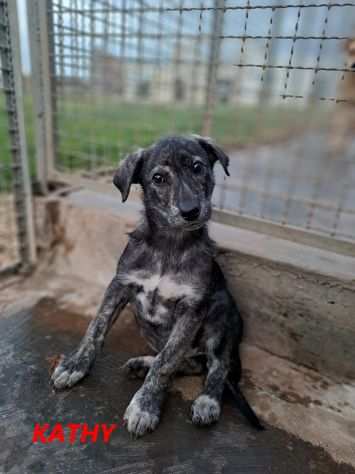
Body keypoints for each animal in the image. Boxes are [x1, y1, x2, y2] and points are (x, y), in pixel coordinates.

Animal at [52, 134, 264, 436]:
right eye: (158, 178)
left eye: (198, 167)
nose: (191, 211)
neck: (168, 244)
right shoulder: (120, 285)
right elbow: (96, 328)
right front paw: (74, 365)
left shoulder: (192, 309)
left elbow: (167, 362)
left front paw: (145, 406)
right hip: (145, 324)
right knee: (191, 362)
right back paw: (142, 363)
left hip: (220, 314)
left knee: (216, 365)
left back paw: (207, 401)